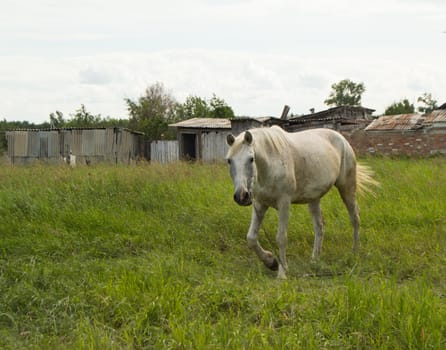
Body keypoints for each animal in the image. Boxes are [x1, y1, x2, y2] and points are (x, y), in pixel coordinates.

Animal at [226, 126, 376, 278]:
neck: (271, 163)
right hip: (314, 199)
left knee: (355, 218)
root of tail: (342, 139)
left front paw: (282, 271)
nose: (241, 196)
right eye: (229, 161)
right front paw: (271, 262)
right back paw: (315, 259)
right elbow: (251, 238)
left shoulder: (284, 204)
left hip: (347, 188)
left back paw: (355, 252)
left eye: (251, 159)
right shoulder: (260, 204)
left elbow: (281, 238)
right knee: (319, 226)